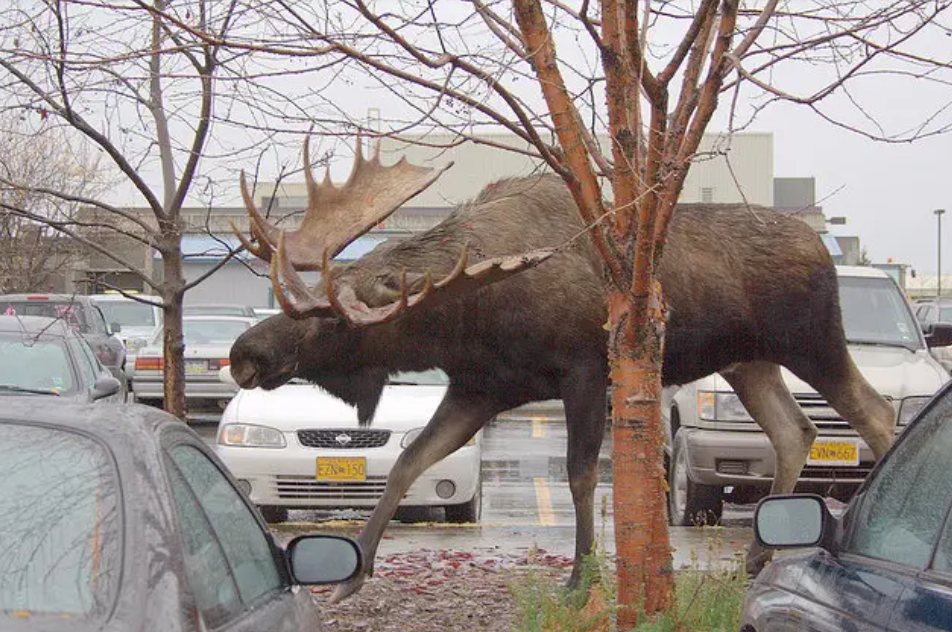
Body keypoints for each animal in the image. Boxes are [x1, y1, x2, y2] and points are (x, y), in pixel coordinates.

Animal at [228, 138, 897, 602]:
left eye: (332, 321)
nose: (244, 354)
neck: (467, 315)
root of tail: (822, 251)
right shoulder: (479, 388)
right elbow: (407, 463)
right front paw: (352, 572)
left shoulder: (584, 369)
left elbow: (580, 475)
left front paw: (583, 577)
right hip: (749, 362)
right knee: (795, 429)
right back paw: (759, 553)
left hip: (812, 341)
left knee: (875, 413)